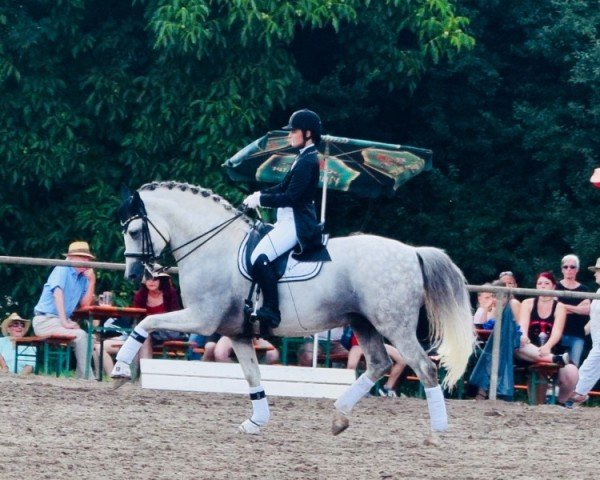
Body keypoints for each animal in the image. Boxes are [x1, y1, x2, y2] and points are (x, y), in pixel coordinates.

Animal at [115, 180, 476, 436]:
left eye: (134, 230)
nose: (134, 275)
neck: (215, 247)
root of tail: (412, 252)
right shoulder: (238, 333)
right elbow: (252, 374)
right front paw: (256, 422)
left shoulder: (202, 319)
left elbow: (146, 323)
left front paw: (119, 372)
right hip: (363, 323)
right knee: (379, 364)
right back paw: (339, 416)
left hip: (394, 325)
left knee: (423, 368)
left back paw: (438, 431)